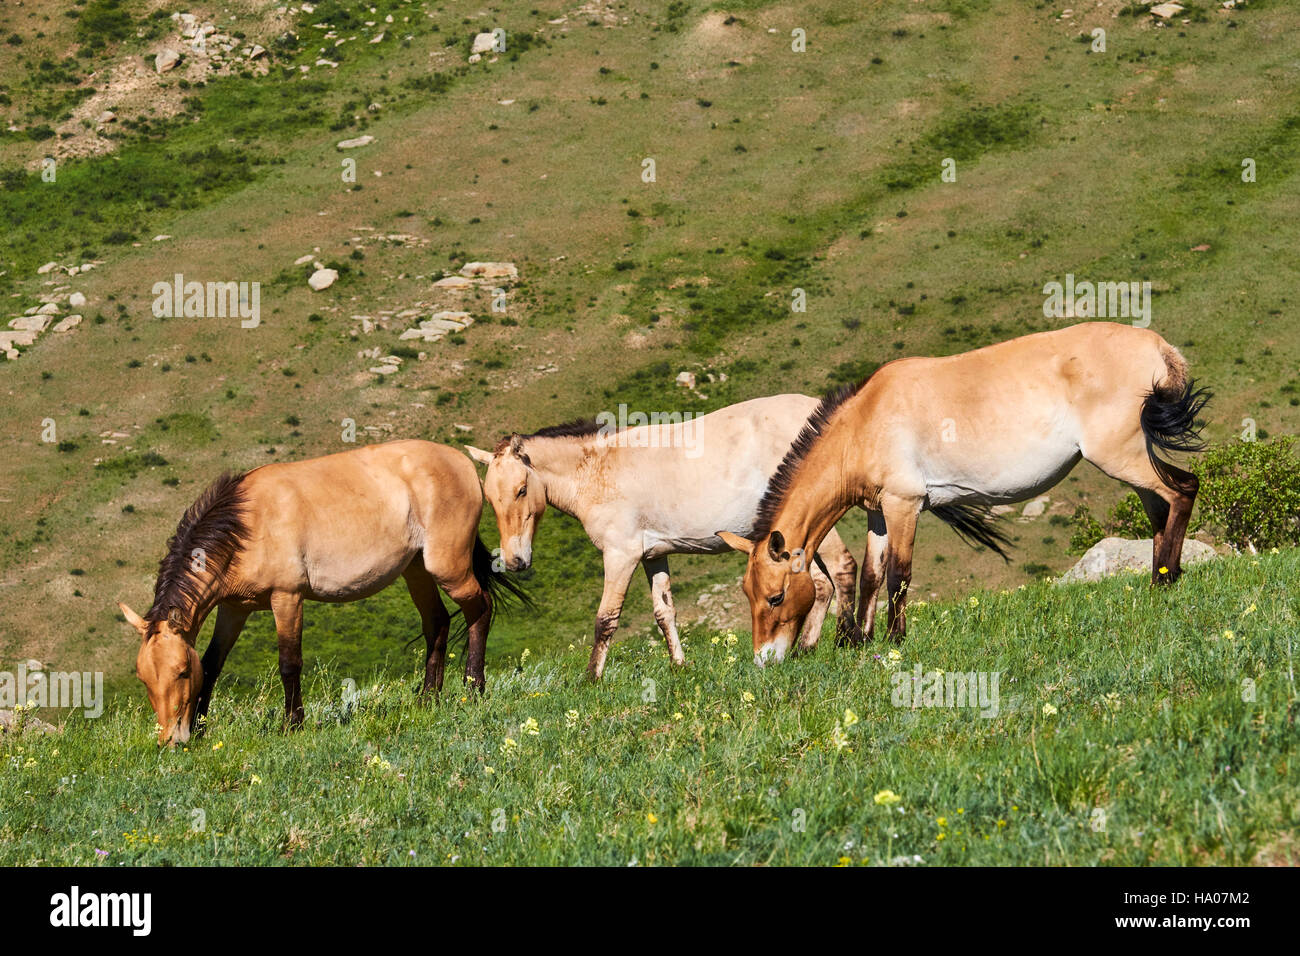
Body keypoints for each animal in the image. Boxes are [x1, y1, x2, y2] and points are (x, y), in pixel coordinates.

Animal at [119, 442, 525, 749]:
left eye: (182, 672)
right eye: (144, 679)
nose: (172, 741)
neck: (246, 525)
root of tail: (464, 463)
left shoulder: (287, 598)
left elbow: (289, 663)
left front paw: (293, 724)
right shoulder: (234, 610)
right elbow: (214, 662)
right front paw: (203, 728)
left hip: (447, 568)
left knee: (479, 609)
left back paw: (474, 689)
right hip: (417, 571)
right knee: (437, 623)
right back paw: (428, 698)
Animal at [467, 395, 863, 681]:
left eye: (521, 490)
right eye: (490, 499)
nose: (515, 561)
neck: (599, 468)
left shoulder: (621, 555)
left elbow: (605, 618)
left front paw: (591, 679)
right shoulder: (653, 555)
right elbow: (664, 612)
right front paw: (679, 665)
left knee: (841, 569)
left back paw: (846, 644)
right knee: (821, 584)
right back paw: (805, 650)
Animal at [717, 321, 1211, 665]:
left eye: (775, 597)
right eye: (747, 594)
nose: (764, 661)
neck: (866, 418)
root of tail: (1158, 347)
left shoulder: (905, 505)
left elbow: (898, 575)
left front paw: (893, 642)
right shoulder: (879, 513)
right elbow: (872, 575)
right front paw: (860, 641)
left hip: (1120, 456)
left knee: (1182, 491)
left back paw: (1165, 582)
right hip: (1132, 458)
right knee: (1159, 509)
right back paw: (1159, 579)